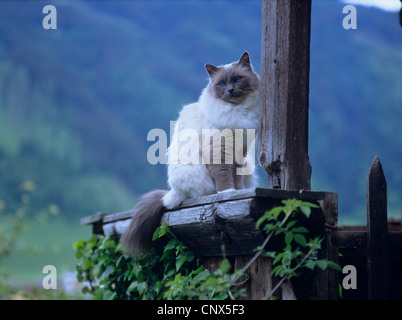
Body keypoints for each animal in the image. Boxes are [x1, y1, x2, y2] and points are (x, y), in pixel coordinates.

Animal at [122, 52, 260, 255]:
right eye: (222, 83)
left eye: (237, 79)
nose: (230, 90)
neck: (237, 112)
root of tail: (171, 193)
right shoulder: (219, 149)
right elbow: (224, 176)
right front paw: (229, 193)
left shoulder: (239, 152)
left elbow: (237, 177)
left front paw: (239, 192)